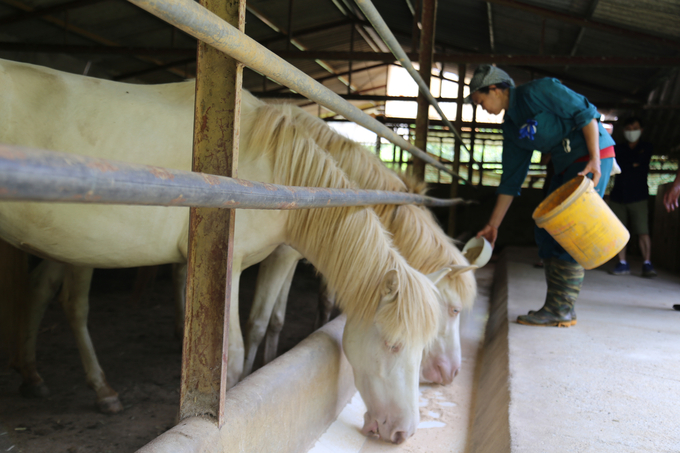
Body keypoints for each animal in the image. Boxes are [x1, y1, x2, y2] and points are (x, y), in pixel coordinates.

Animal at [0, 57, 446, 442]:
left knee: (43, 292)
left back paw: (37, 378)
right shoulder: (228, 268)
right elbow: (233, 351)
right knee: (71, 304)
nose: (402, 431)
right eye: (393, 345)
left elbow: (268, 320)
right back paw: (99, 389)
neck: (272, 169)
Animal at [244, 107, 478, 384]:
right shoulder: (281, 255)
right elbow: (260, 322)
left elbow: (289, 314)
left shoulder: (295, 255)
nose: (451, 372)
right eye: (455, 310)